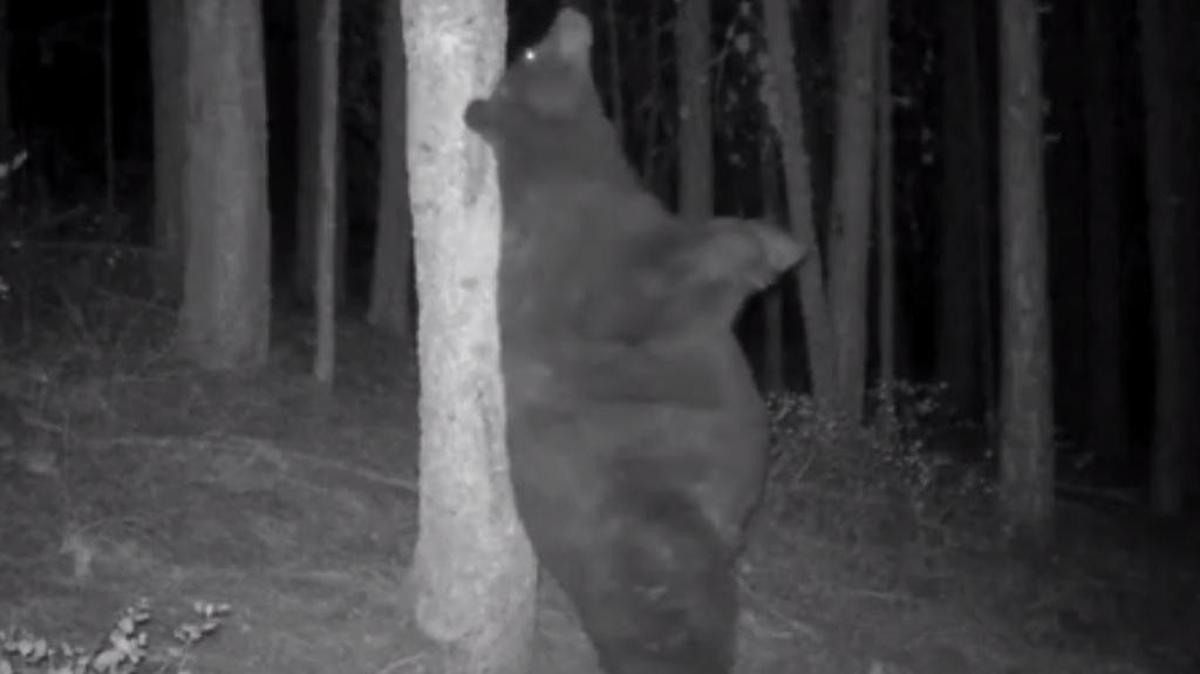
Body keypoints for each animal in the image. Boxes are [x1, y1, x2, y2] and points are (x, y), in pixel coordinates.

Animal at [464, 7, 803, 674]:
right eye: (531, 54)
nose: (572, 14)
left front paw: (776, 242)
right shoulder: (594, 275)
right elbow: (658, 285)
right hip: (649, 531)